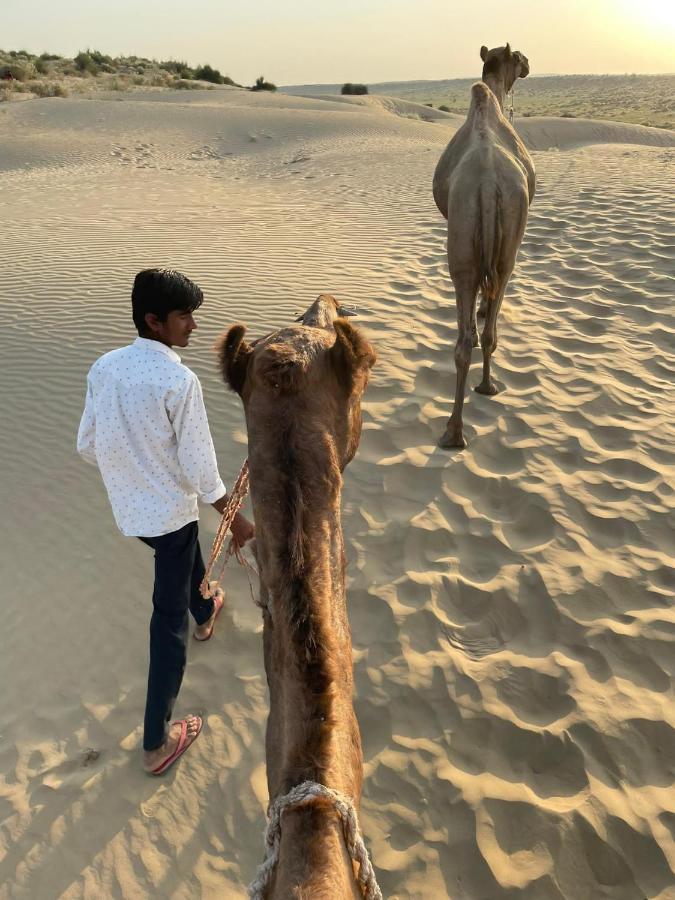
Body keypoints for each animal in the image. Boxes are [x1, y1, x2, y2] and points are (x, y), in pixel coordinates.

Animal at [434, 45, 540, 446]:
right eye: (520, 57)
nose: (529, 65)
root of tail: (488, 183)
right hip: (501, 238)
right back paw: (477, 399)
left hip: (472, 240)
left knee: (469, 333)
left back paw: (457, 426)